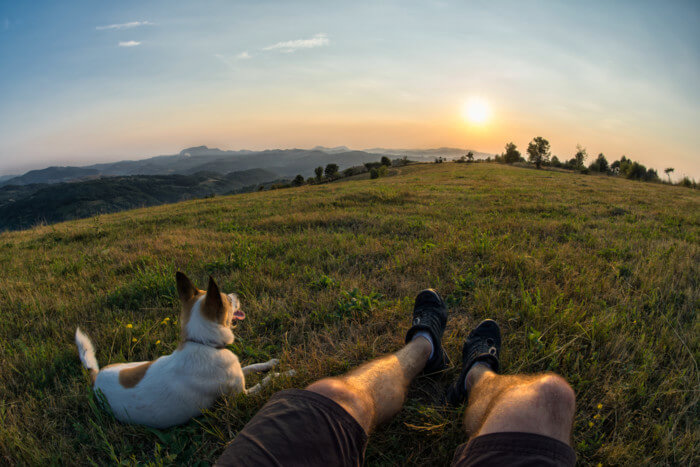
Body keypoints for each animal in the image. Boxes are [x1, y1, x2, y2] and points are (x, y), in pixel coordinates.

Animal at [72, 272, 290, 430]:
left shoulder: (238, 374)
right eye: (228, 300)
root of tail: (95, 377)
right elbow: (266, 380)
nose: (237, 294)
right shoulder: (241, 395)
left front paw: (272, 363)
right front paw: (286, 373)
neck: (203, 343)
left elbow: (253, 366)